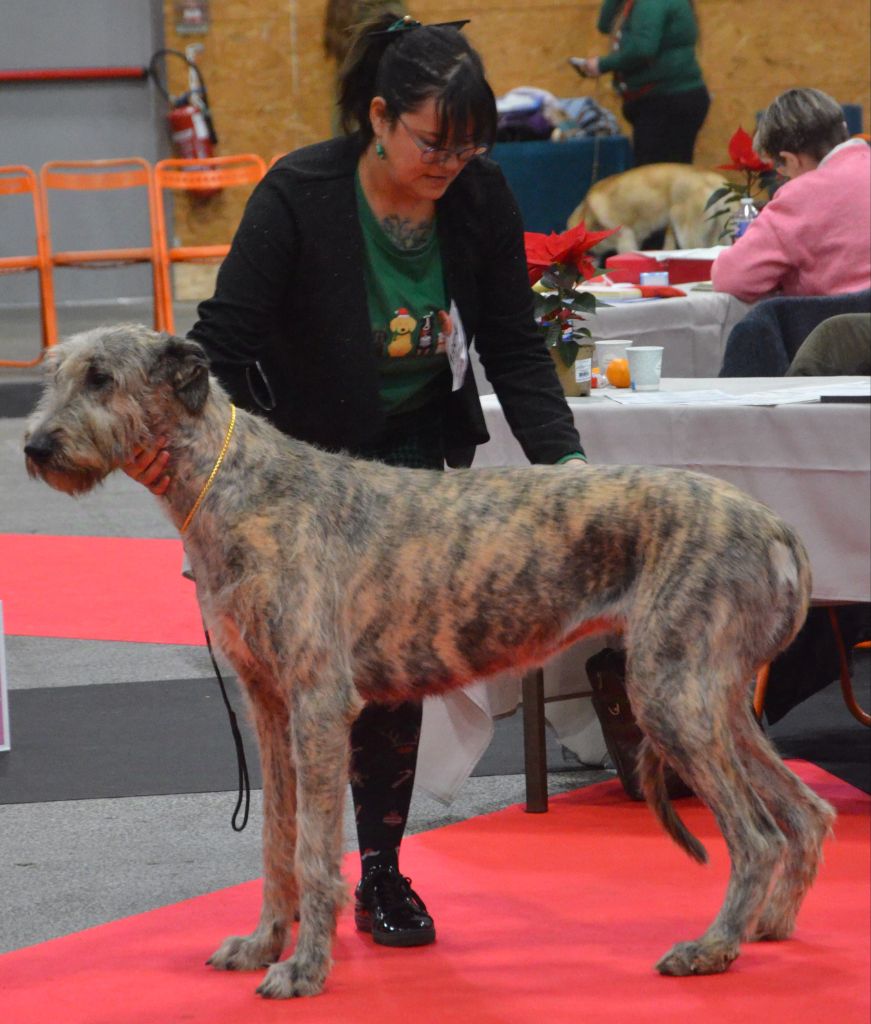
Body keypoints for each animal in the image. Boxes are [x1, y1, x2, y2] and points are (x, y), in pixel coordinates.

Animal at [23, 323, 835, 995]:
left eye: (101, 377)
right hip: (712, 695)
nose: (34, 448)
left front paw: (305, 969)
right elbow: (276, 838)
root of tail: (774, 526)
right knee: (808, 809)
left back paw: (713, 947)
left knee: (757, 835)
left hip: (672, 693)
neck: (237, 487)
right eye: (54, 372)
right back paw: (769, 925)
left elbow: (315, 851)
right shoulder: (268, 705)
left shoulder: (319, 704)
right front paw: (261, 944)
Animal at [569, 163, 732, 253]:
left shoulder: (625, 237)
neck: (588, 212)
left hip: (686, 232)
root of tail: (713, 178)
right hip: (717, 234)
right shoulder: (636, 238)